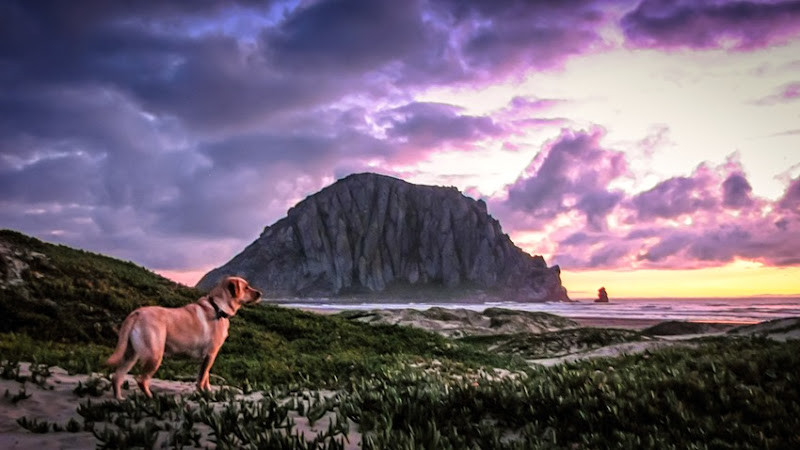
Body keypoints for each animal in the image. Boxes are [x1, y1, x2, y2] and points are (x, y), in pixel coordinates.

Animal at [106, 276, 260, 400]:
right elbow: (202, 378)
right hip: (155, 355)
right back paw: (151, 398)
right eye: (246, 287)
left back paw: (119, 399)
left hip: (131, 355)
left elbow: (205, 376)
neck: (218, 307)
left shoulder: (207, 358)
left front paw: (207, 391)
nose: (260, 293)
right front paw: (202, 394)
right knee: (141, 380)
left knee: (117, 377)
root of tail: (136, 313)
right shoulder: (211, 354)